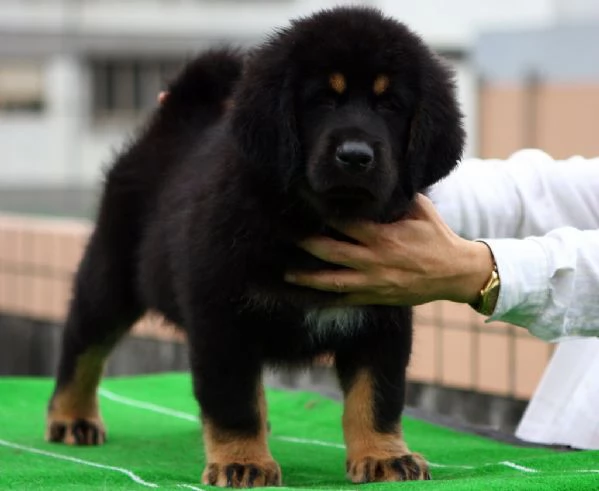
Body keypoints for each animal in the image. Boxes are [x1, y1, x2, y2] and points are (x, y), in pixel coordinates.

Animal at [44, 5, 464, 490]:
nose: (356, 156)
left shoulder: (384, 318)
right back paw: (72, 417)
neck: (315, 216)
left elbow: (377, 396)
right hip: (112, 272)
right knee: (83, 343)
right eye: (321, 100)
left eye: (391, 104)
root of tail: (174, 124)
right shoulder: (222, 319)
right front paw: (241, 462)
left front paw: (383, 455)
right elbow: (233, 400)